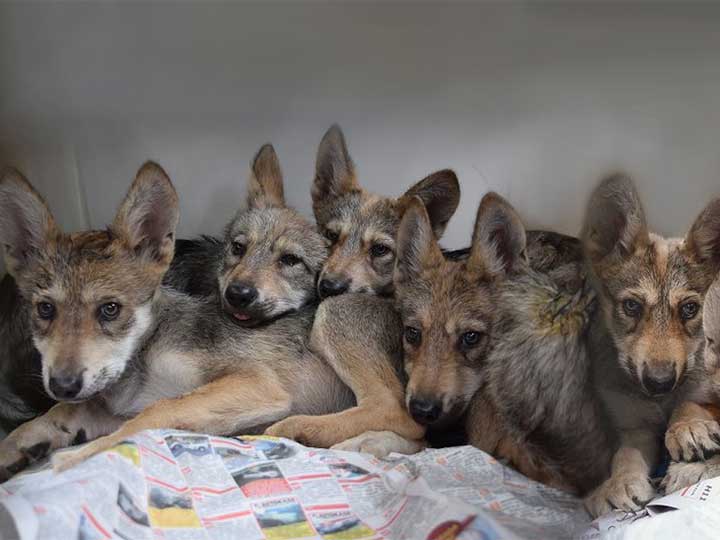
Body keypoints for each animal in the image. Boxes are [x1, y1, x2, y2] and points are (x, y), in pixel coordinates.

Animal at [0, 146, 364, 478]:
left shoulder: (257, 384)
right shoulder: (114, 408)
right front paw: (19, 445)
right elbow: (57, 414)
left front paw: (75, 458)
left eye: (110, 309)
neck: (142, 360)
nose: (62, 385)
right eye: (45, 309)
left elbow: (152, 414)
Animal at [581, 174, 720, 516]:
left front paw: (688, 428)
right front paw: (619, 483)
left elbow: (688, 403)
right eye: (631, 306)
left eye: (689, 309)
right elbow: (625, 454)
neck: (659, 403)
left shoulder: (703, 392)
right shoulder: (634, 429)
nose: (659, 382)